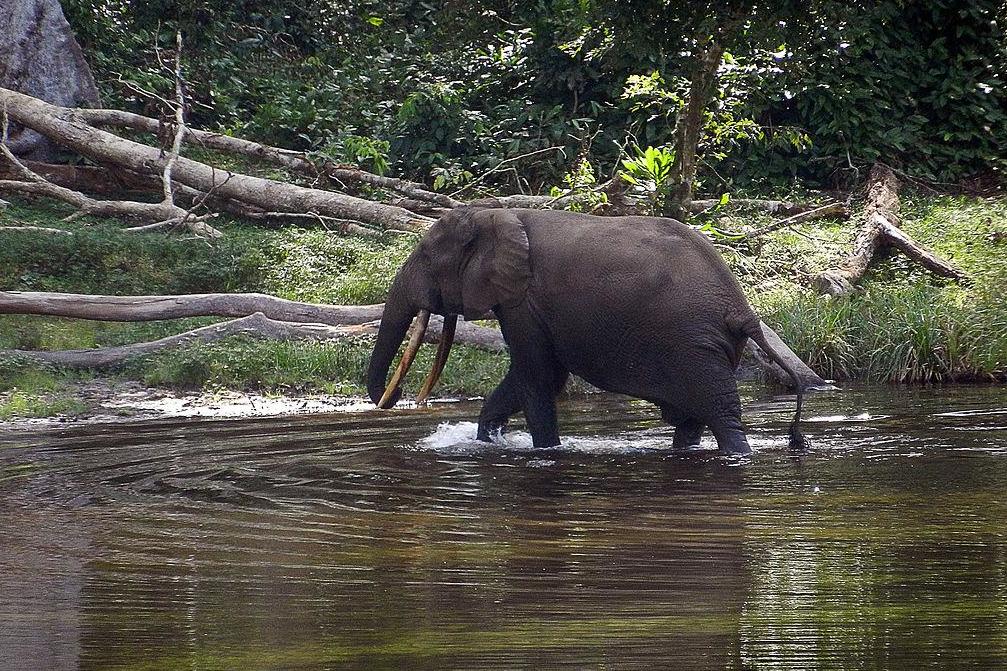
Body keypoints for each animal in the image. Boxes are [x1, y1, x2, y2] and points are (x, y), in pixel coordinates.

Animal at [367, 205, 807, 454]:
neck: (496, 216)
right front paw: (489, 442)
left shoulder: (523, 300)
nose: (398, 396)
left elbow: (538, 376)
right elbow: (532, 377)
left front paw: (546, 452)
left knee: (719, 412)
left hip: (692, 344)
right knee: (693, 418)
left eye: (426, 256)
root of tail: (741, 309)